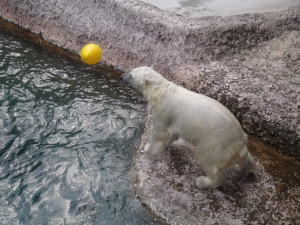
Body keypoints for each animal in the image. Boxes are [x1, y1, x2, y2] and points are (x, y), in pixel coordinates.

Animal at [121, 66, 255, 188]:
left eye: (131, 75)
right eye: (131, 70)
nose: (122, 76)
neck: (161, 91)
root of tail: (240, 138)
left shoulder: (164, 111)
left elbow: (160, 134)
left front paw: (147, 148)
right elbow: (172, 134)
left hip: (216, 144)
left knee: (209, 161)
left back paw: (203, 182)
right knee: (246, 159)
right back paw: (249, 170)